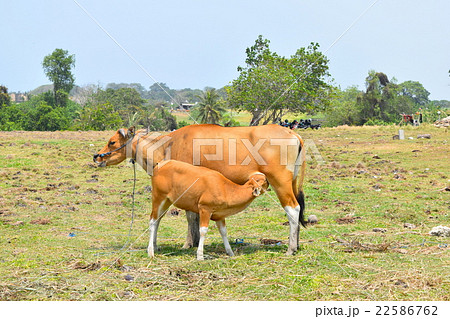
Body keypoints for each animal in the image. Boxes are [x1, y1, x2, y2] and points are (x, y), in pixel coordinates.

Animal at [93, 124, 308, 256]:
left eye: (112, 142)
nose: (96, 156)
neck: (167, 146)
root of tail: (293, 134)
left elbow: (190, 216)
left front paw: (190, 243)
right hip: (292, 182)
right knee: (297, 210)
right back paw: (296, 244)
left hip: (280, 182)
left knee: (293, 209)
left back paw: (290, 248)